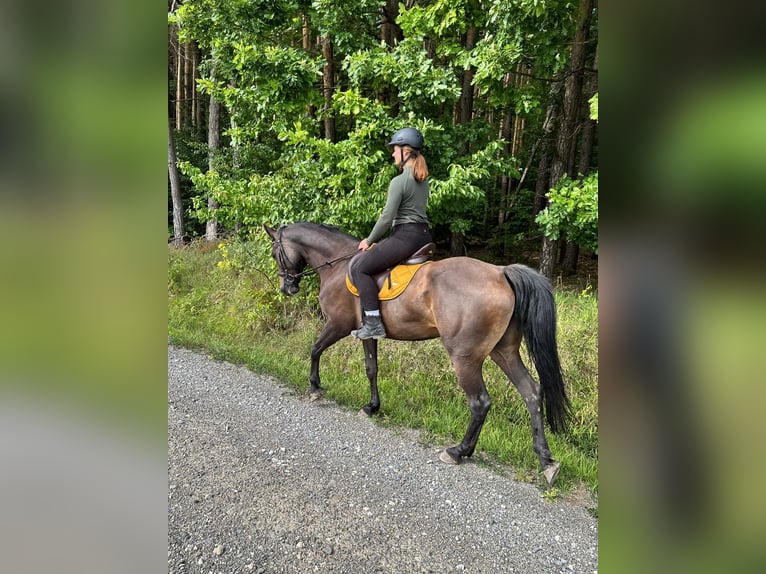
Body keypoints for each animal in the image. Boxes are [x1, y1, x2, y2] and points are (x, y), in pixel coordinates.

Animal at [264, 222, 569, 485]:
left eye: (275, 252)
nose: (286, 287)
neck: (338, 264)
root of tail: (500, 272)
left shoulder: (338, 324)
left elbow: (315, 349)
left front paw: (315, 387)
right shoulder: (367, 333)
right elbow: (371, 368)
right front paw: (372, 407)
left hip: (465, 358)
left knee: (480, 402)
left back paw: (458, 451)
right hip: (503, 351)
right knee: (531, 392)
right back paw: (546, 461)